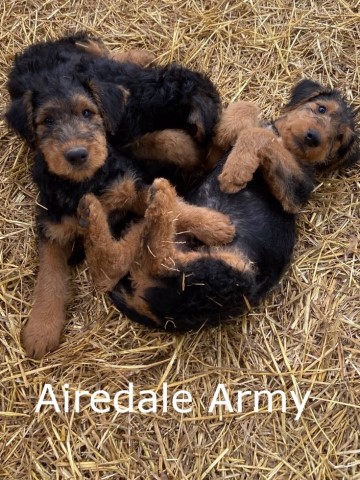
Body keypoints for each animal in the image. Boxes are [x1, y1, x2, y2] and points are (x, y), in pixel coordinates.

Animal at [78, 80, 358, 330]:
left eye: (338, 138)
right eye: (321, 109)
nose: (314, 138)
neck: (286, 142)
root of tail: (157, 315)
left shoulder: (295, 191)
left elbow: (259, 136)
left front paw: (236, 171)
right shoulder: (212, 160)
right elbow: (248, 113)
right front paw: (229, 130)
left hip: (220, 277)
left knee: (157, 259)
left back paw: (162, 196)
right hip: (156, 241)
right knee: (111, 269)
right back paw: (91, 209)